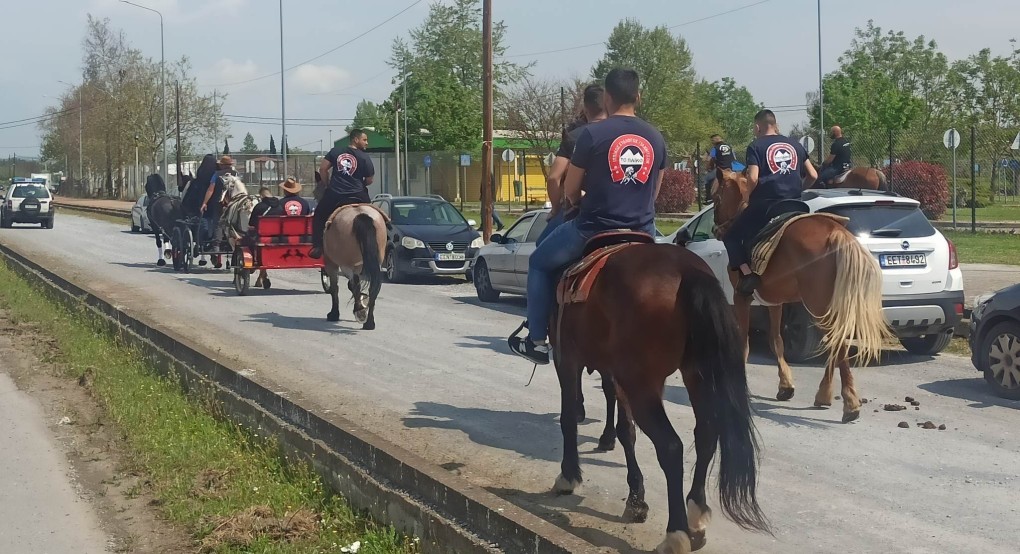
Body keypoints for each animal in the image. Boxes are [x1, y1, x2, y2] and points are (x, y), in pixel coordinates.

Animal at [554, 242, 767, 554]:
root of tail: (687, 269)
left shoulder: (568, 359)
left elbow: (569, 417)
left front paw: (568, 476)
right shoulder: (616, 375)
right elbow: (625, 430)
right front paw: (636, 498)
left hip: (642, 383)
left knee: (670, 447)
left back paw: (676, 533)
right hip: (695, 375)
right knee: (706, 435)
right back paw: (696, 515)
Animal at [709, 169, 893, 424]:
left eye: (715, 197)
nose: (715, 230)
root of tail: (836, 233)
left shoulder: (741, 297)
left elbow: (744, 342)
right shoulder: (775, 301)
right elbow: (776, 340)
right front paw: (785, 385)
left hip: (817, 305)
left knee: (837, 345)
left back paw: (849, 403)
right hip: (825, 307)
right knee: (835, 344)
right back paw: (826, 395)